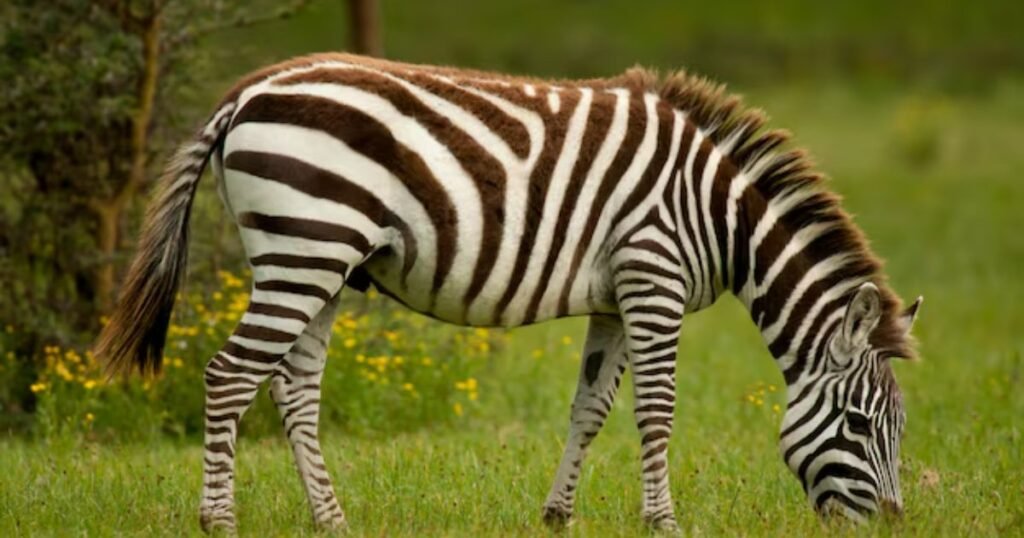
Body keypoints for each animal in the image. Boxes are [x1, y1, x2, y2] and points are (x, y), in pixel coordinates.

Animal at [96, 53, 922, 532]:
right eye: (858, 423)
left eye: (898, 430)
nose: (891, 521)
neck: (719, 213)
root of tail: (248, 91)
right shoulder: (652, 276)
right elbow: (656, 413)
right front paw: (663, 522)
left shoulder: (614, 299)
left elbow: (590, 408)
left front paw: (557, 514)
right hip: (306, 247)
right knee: (229, 376)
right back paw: (219, 520)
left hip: (316, 260)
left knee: (292, 388)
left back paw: (332, 520)